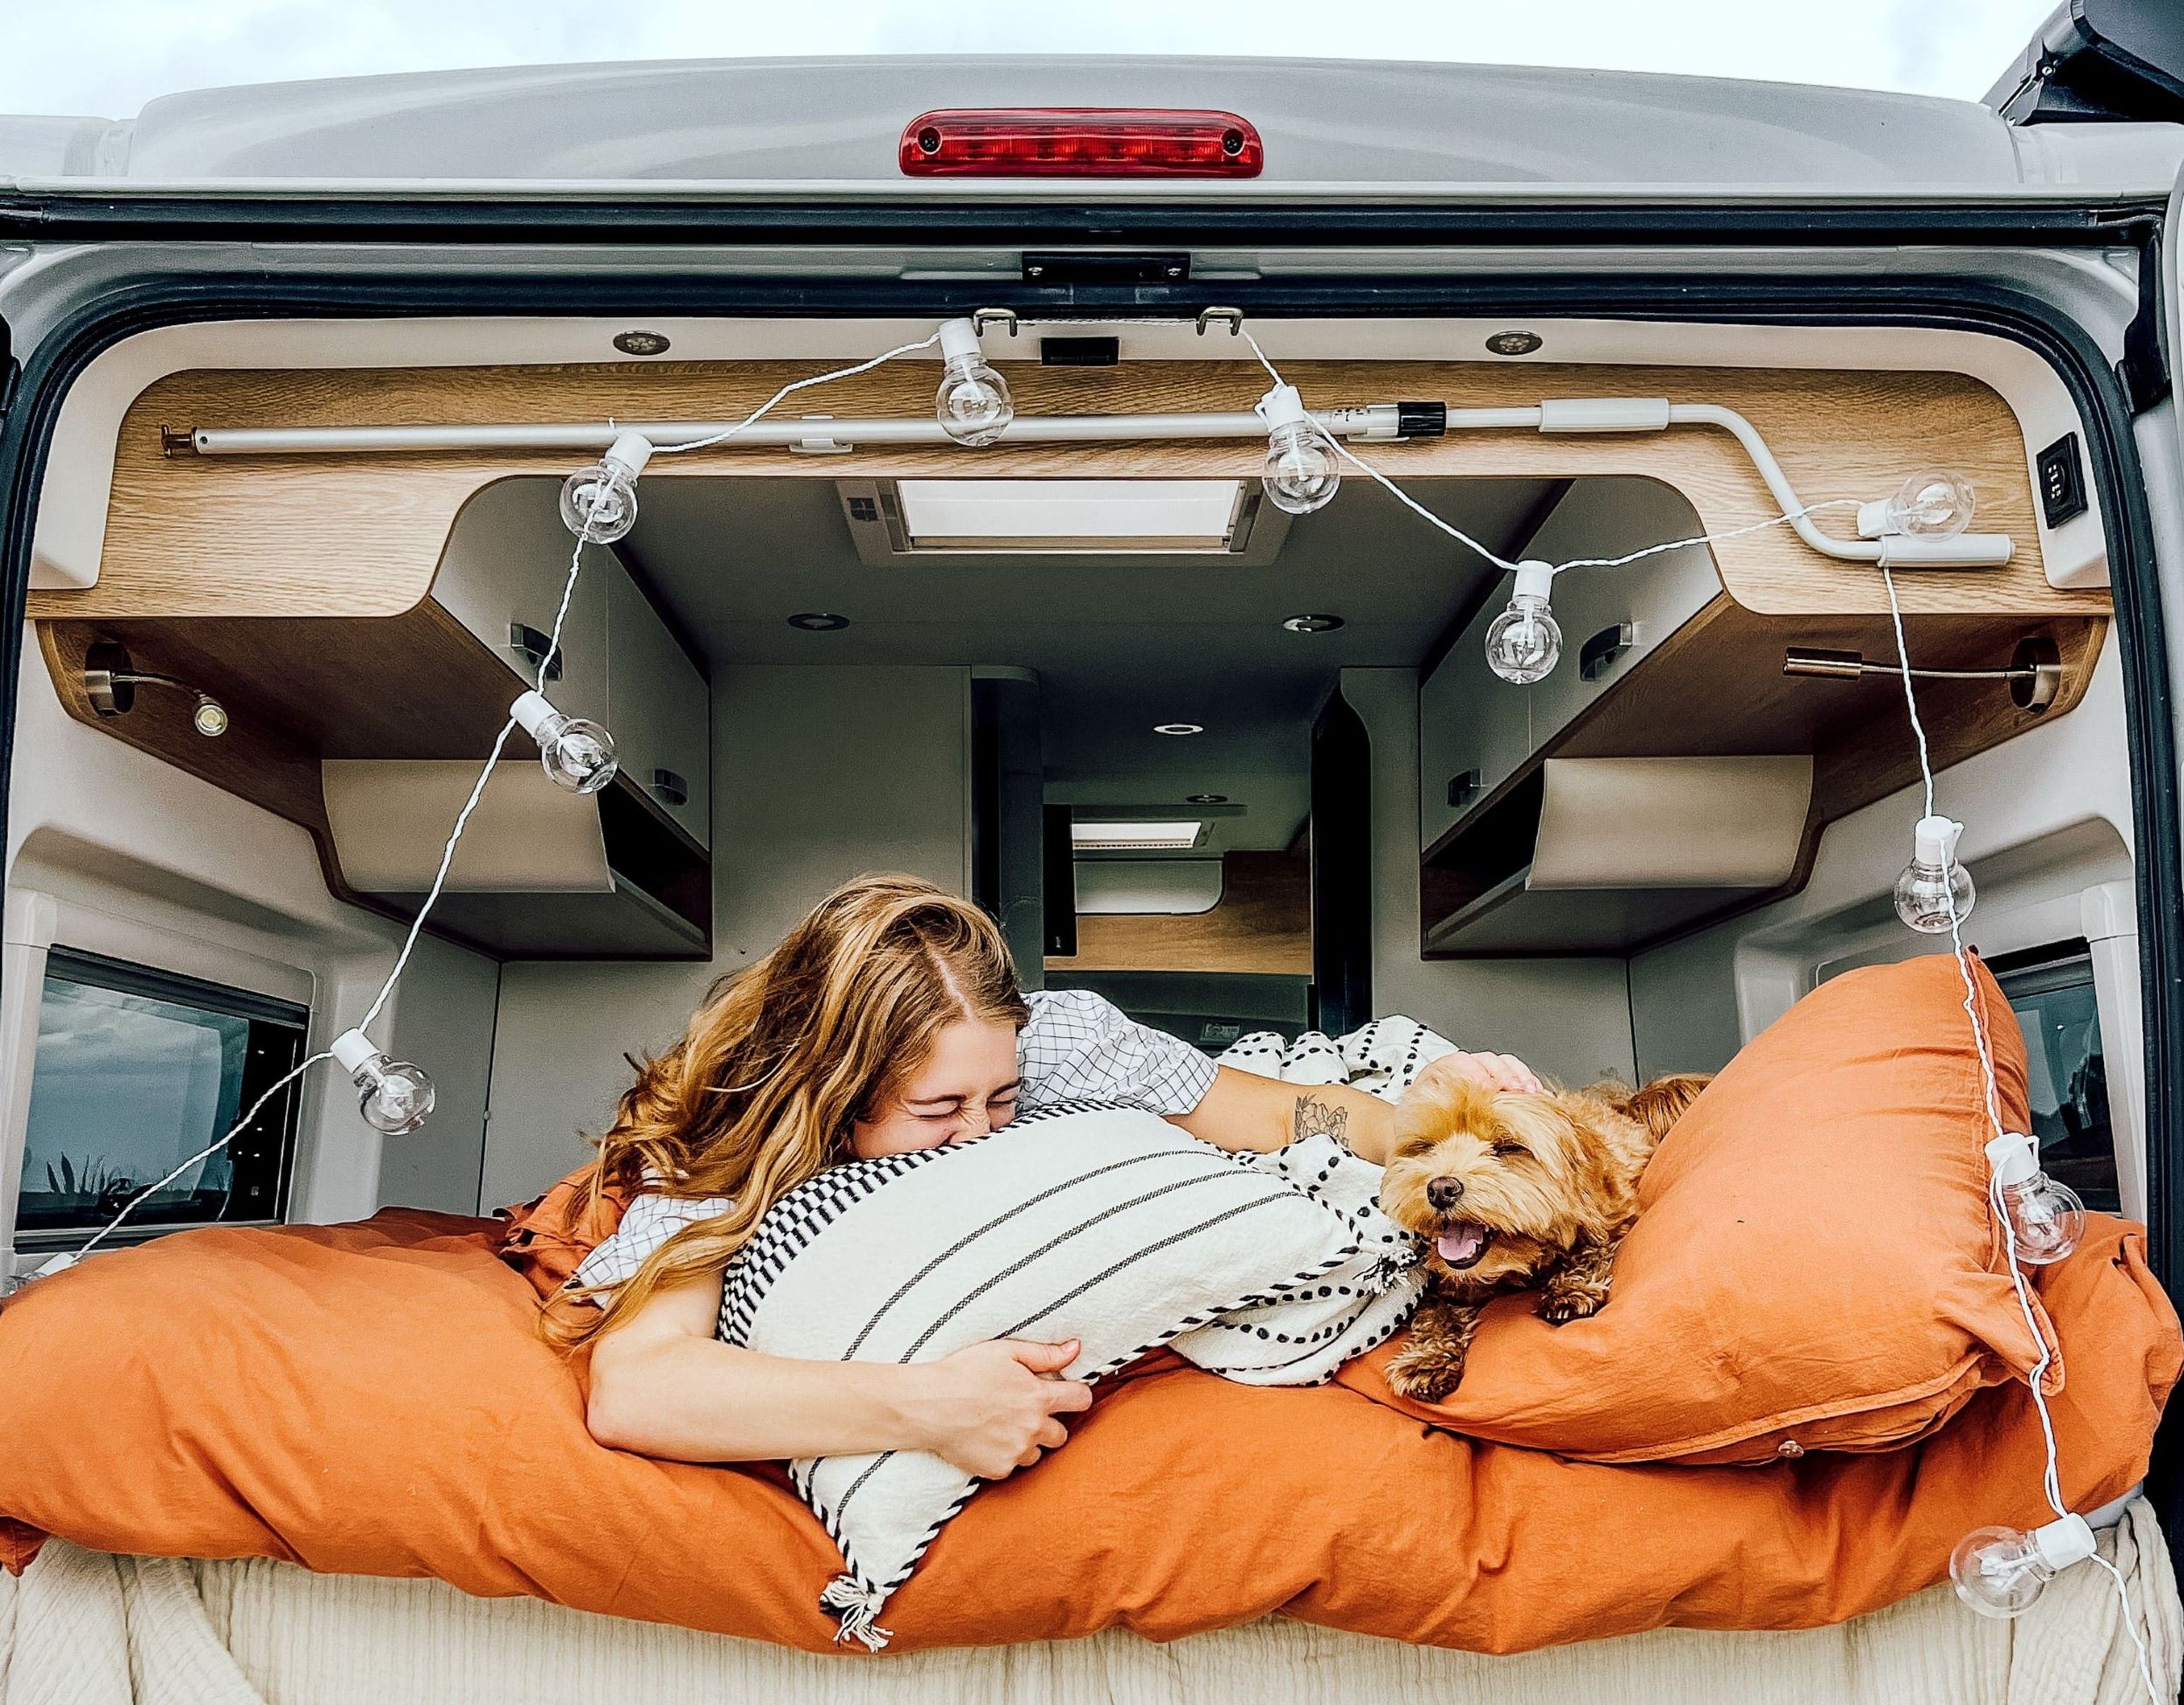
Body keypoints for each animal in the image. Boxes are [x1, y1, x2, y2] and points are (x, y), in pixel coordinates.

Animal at [1380, 1069, 1703, 1406]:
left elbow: (1590, 1249)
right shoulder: (1445, 1286)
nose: (1440, 1189)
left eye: (1507, 1147)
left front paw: (1571, 1290)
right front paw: (1427, 1361)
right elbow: (1435, 1315)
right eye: (1426, 1147)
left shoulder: (1615, 1216)